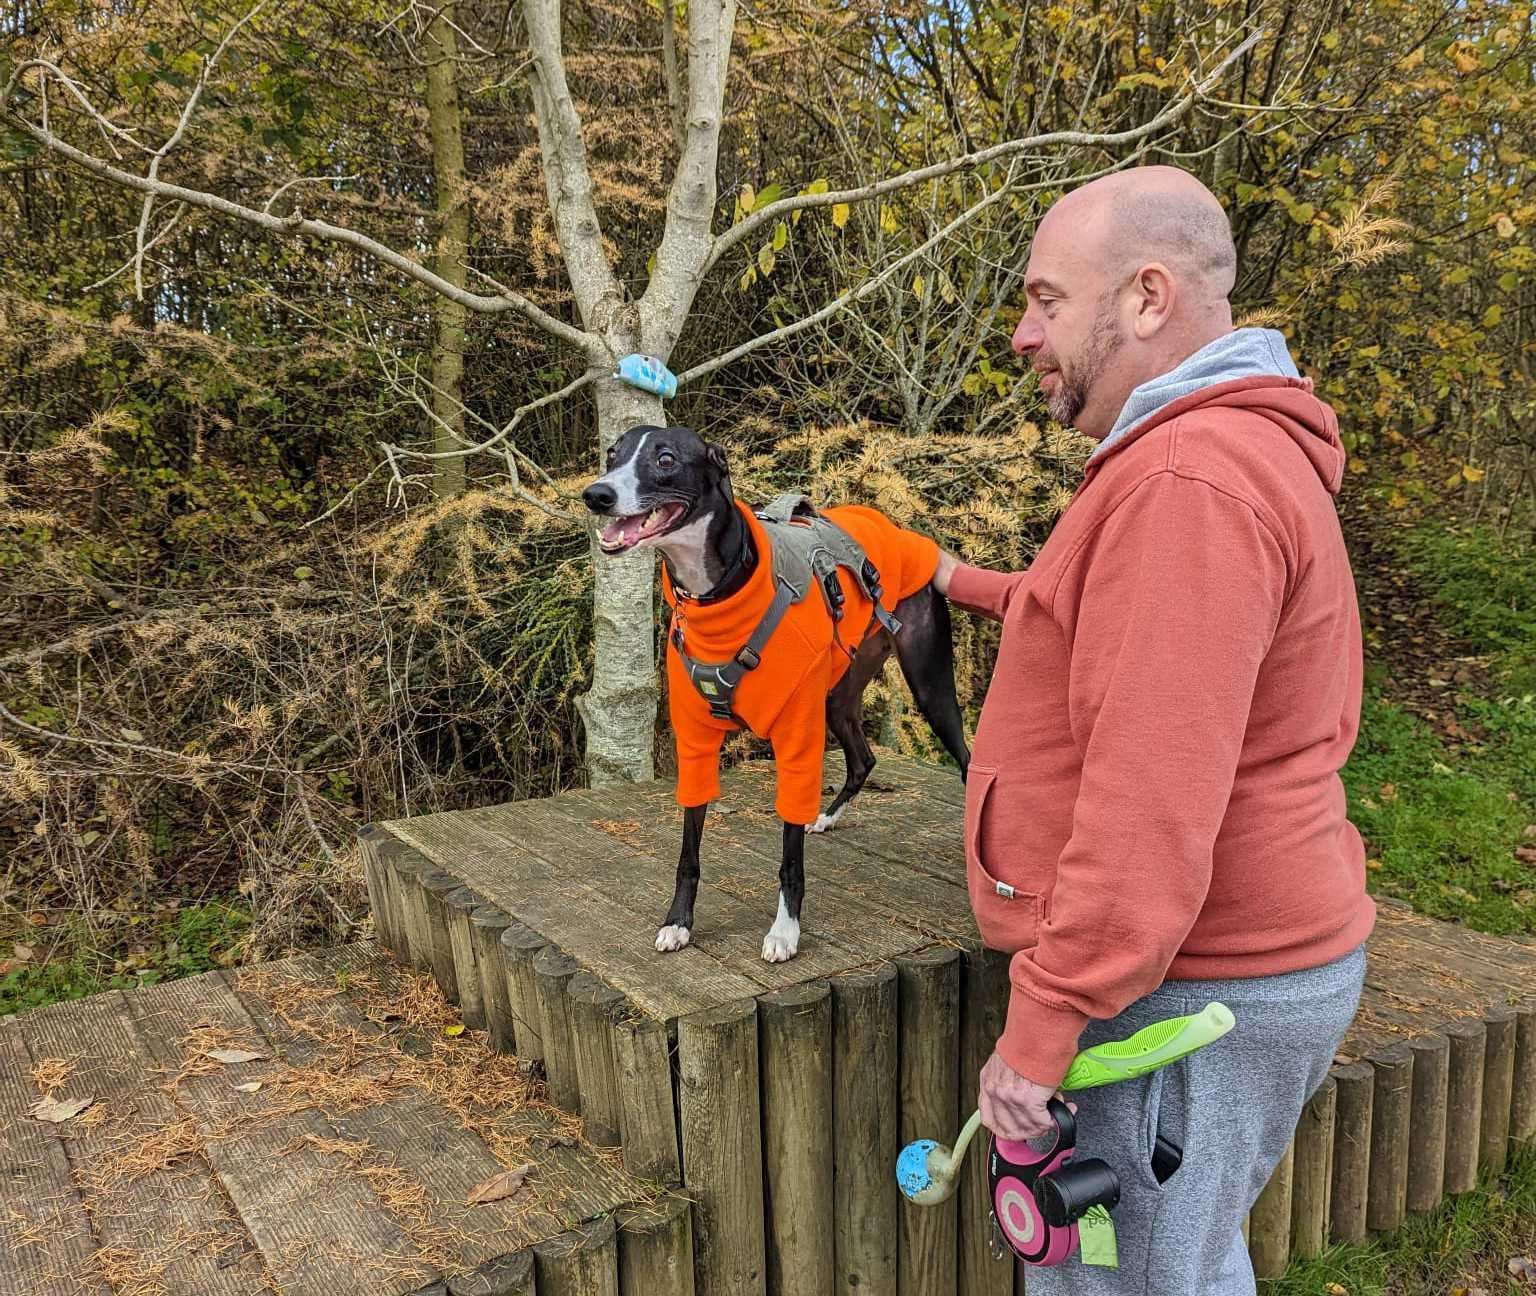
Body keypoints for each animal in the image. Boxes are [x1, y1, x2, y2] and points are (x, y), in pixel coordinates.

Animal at [580, 423, 964, 964]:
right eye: (612, 454)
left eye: (665, 458)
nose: (597, 495)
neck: (719, 597)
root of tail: (894, 527)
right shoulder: (695, 743)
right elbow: (688, 852)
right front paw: (678, 922)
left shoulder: (796, 737)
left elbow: (788, 857)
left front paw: (785, 931)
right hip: (838, 692)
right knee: (863, 758)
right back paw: (825, 818)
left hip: (929, 686)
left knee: (967, 759)